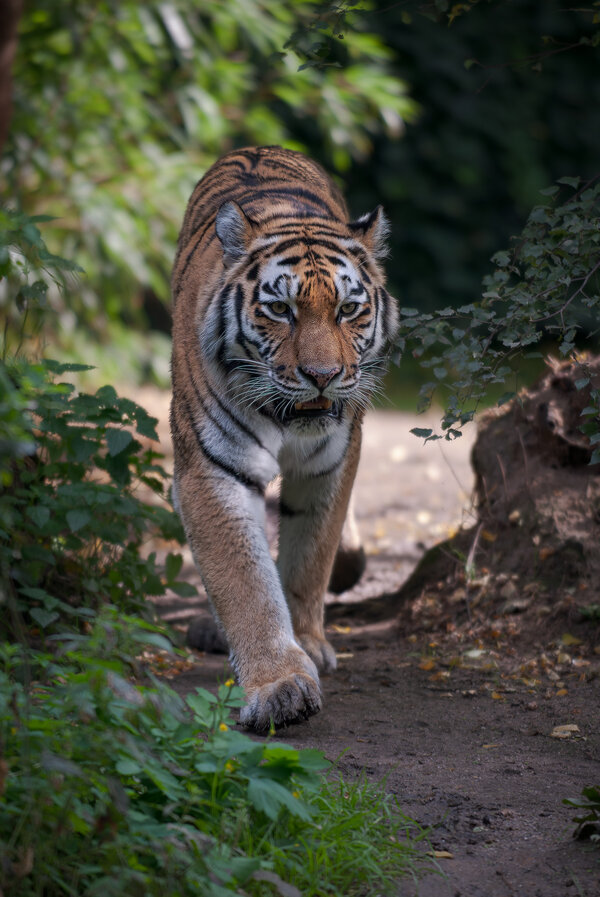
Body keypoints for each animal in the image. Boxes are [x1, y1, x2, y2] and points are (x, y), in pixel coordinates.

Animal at [170, 145, 398, 730]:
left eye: (348, 309)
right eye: (280, 310)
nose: (322, 375)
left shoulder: (333, 461)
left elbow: (310, 554)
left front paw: (309, 643)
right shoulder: (212, 469)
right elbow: (245, 581)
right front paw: (280, 685)